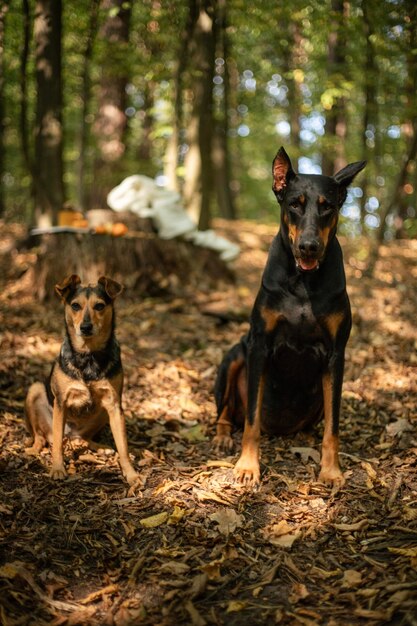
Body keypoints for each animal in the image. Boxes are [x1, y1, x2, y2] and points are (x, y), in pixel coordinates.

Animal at [25, 274, 140, 488]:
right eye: (75, 306)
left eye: (100, 306)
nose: (85, 327)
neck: (89, 356)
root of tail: (72, 437)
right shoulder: (61, 402)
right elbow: (57, 446)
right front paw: (57, 468)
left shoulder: (114, 404)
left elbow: (123, 446)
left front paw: (131, 474)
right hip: (35, 391)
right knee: (43, 438)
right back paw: (34, 449)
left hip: (102, 414)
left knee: (85, 438)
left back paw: (100, 447)